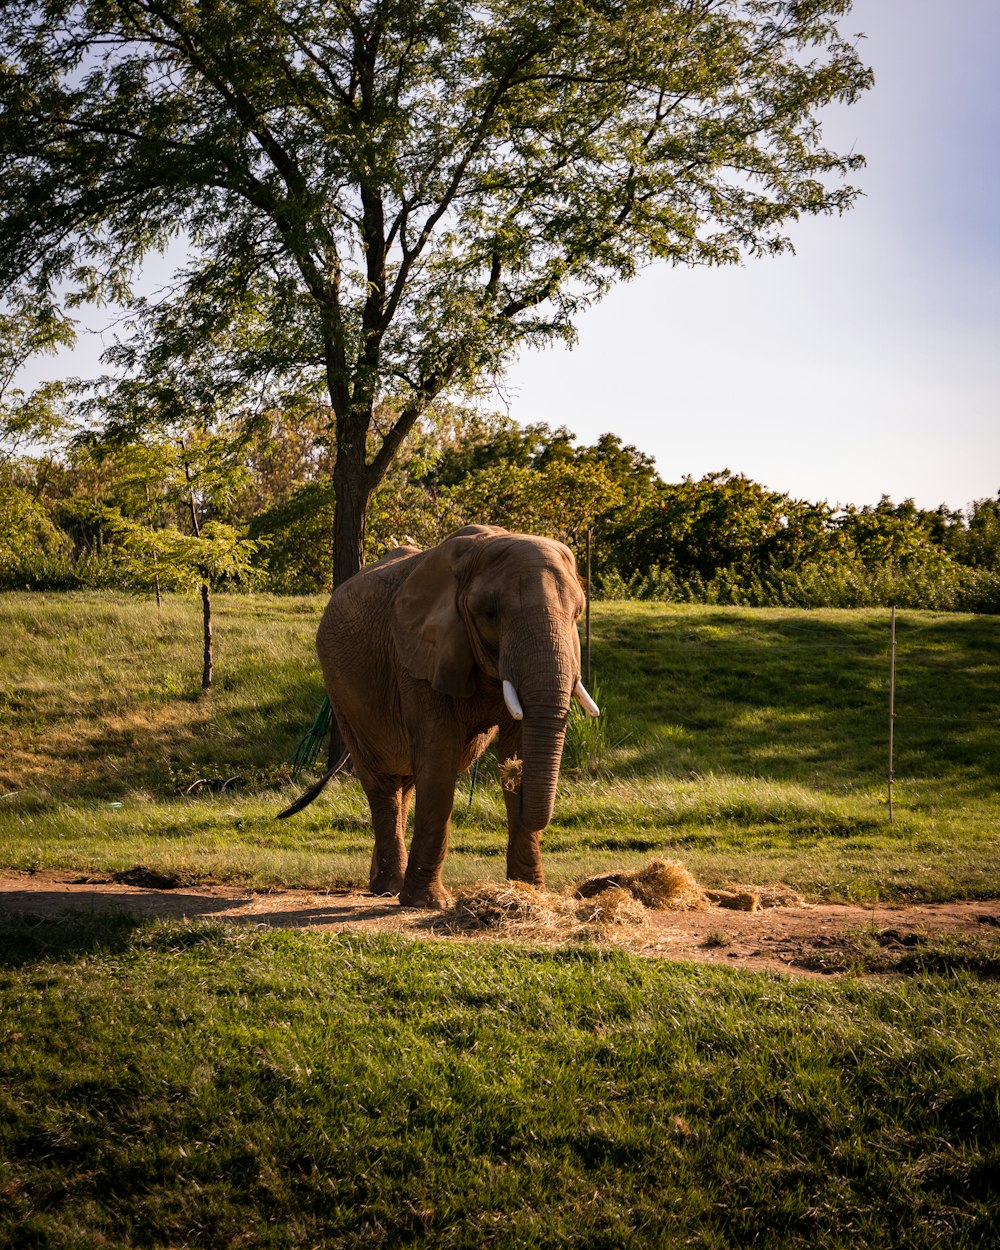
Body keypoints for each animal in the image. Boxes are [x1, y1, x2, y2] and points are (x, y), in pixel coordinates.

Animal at [277, 525, 597, 910]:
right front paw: (429, 903)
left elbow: (516, 749)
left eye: (578, 612)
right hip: (341, 692)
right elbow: (438, 757)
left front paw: (530, 893)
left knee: (405, 783)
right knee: (382, 783)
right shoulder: (417, 655)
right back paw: (390, 886)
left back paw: (384, 887)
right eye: (489, 613)